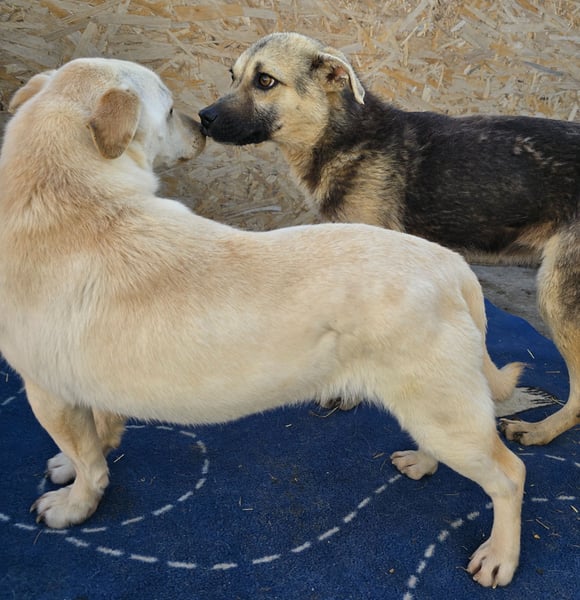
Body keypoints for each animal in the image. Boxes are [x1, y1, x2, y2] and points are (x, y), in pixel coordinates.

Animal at [0, 58, 526, 588]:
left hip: (447, 415)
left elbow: (90, 462)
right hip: (433, 409)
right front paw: (80, 459)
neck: (63, 189)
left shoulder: (46, 393)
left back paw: (500, 555)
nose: (200, 125)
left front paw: (74, 505)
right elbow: (98, 432)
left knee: (511, 476)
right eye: (169, 111)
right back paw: (422, 462)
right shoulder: (84, 382)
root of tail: (451, 265)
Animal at [199, 31, 580, 447]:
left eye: (265, 80)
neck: (344, 138)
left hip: (557, 295)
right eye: (233, 76)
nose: (202, 118)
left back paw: (540, 430)